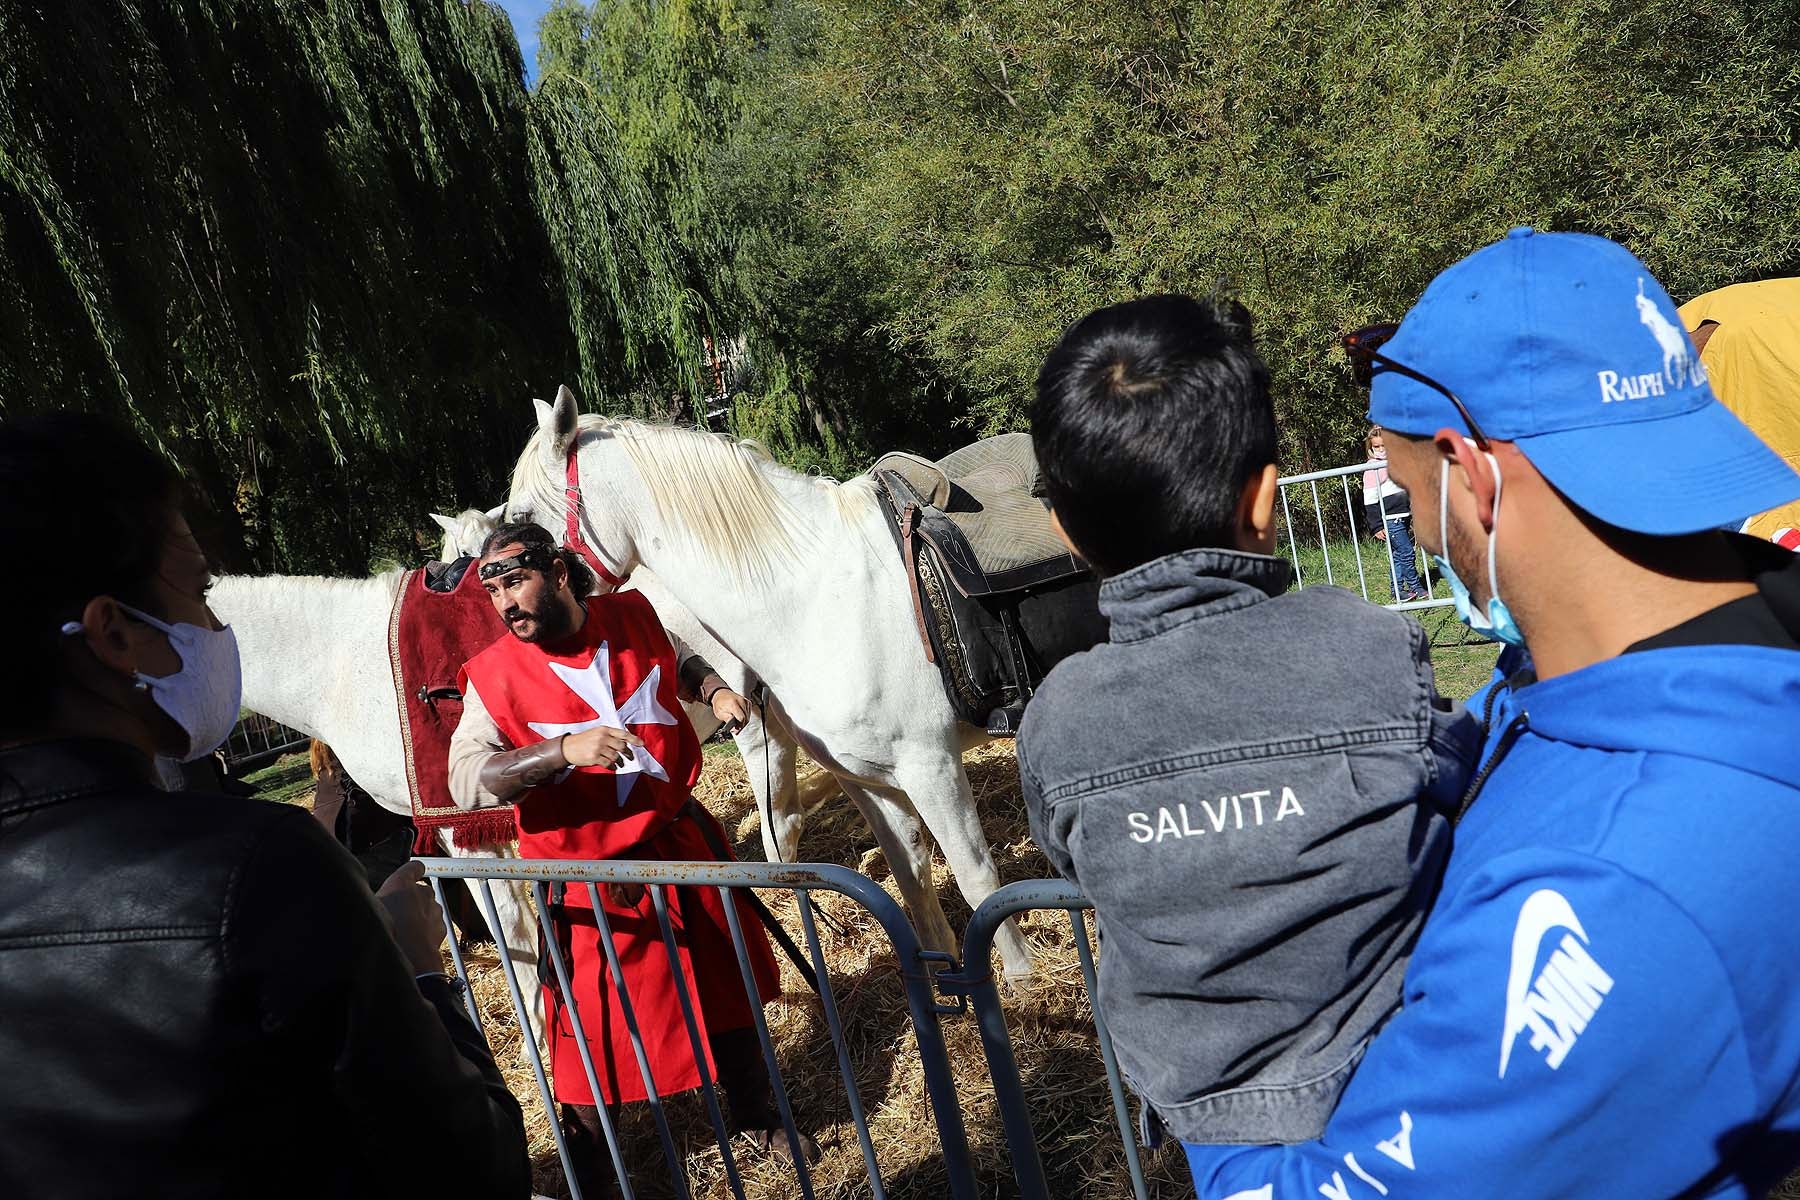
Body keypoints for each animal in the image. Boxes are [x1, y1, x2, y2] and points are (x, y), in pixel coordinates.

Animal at [507, 386, 1036, 978]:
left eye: (521, 519)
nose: (508, 625)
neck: (815, 597)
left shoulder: (931, 766)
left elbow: (979, 882)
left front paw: (1023, 984)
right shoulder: (869, 778)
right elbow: (910, 879)